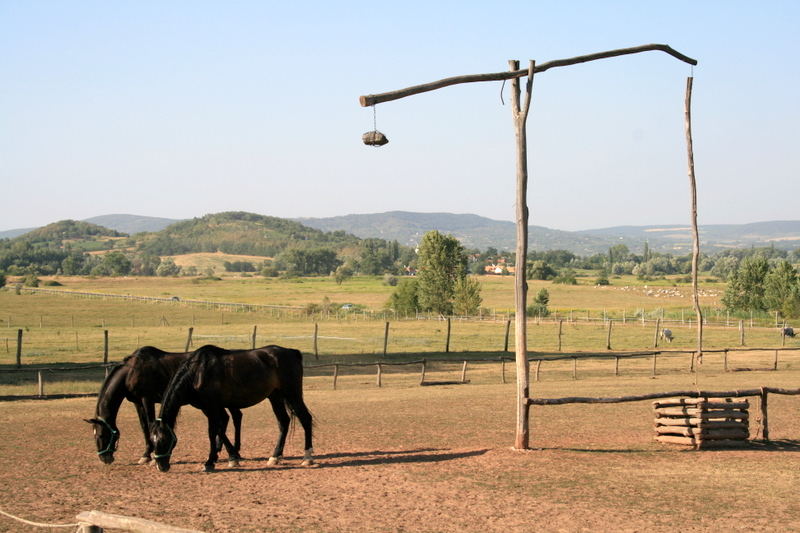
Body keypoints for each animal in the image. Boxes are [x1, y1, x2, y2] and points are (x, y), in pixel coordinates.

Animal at [83, 348, 244, 464]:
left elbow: (149, 424)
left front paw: (150, 456)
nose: (105, 458)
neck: (132, 371)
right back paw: (222, 450)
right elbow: (143, 427)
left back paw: (233, 452)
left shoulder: (147, 399)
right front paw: (146, 454)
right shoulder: (137, 402)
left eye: (101, 434)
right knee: (227, 418)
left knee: (233, 417)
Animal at [150, 342, 312, 472]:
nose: (161, 466)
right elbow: (220, 429)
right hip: (275, 396)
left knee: (305, 418)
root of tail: (291, 352)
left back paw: (307, 457)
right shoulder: (208, 408)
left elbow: (213, 431)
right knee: (283, 422)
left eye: (163, 440)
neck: (198, 372)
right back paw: (275, 456)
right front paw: (232, 457)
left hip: (292, 394)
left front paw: (210, 462)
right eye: (152, 441)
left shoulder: (212, 406)